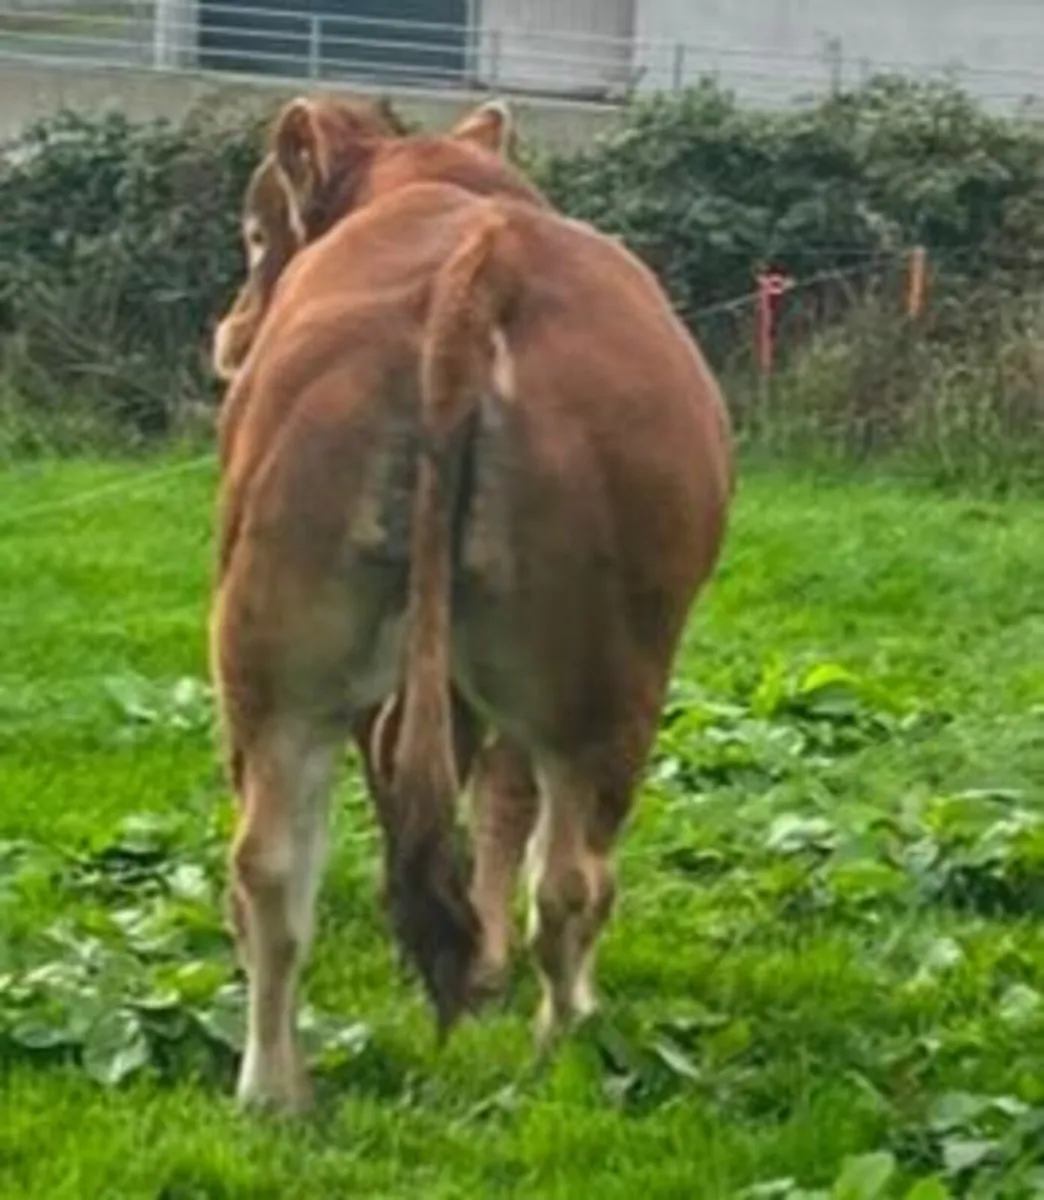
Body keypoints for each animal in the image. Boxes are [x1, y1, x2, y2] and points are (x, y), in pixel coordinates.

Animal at [210, 94, 734, 1113]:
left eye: (256, 233)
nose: (228, 334)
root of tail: (475, 266)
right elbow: (504, 802)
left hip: (275, 660)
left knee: (270, 867)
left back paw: (272, 1092)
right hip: (600, 678)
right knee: (572, 881)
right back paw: (567, 1043)